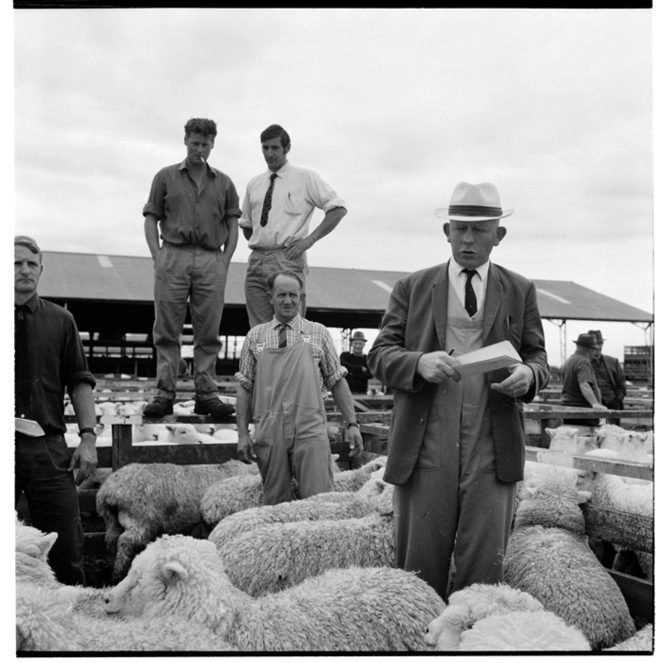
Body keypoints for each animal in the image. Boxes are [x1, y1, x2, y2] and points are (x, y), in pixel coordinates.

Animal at [96, 460, 260, 584]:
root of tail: (109, 491)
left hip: (112, 521)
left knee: (112, 540)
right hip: (140, 519)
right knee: (125, 542)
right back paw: (119, 574)